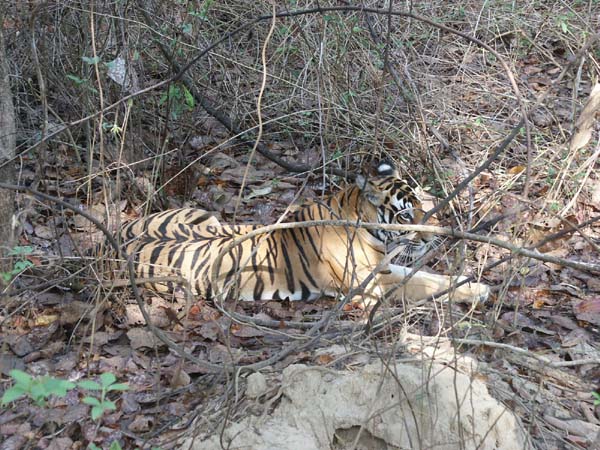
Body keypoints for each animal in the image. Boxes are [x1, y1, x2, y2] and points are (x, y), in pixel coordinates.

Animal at [119, 162, 490, 306]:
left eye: (421, 204)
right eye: (405, 214)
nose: (433, 237)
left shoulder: (383, 268)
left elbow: (427, 275)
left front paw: (472, 282)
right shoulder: (369, 284)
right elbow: (421, 283)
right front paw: (477, 290)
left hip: (203, 215)